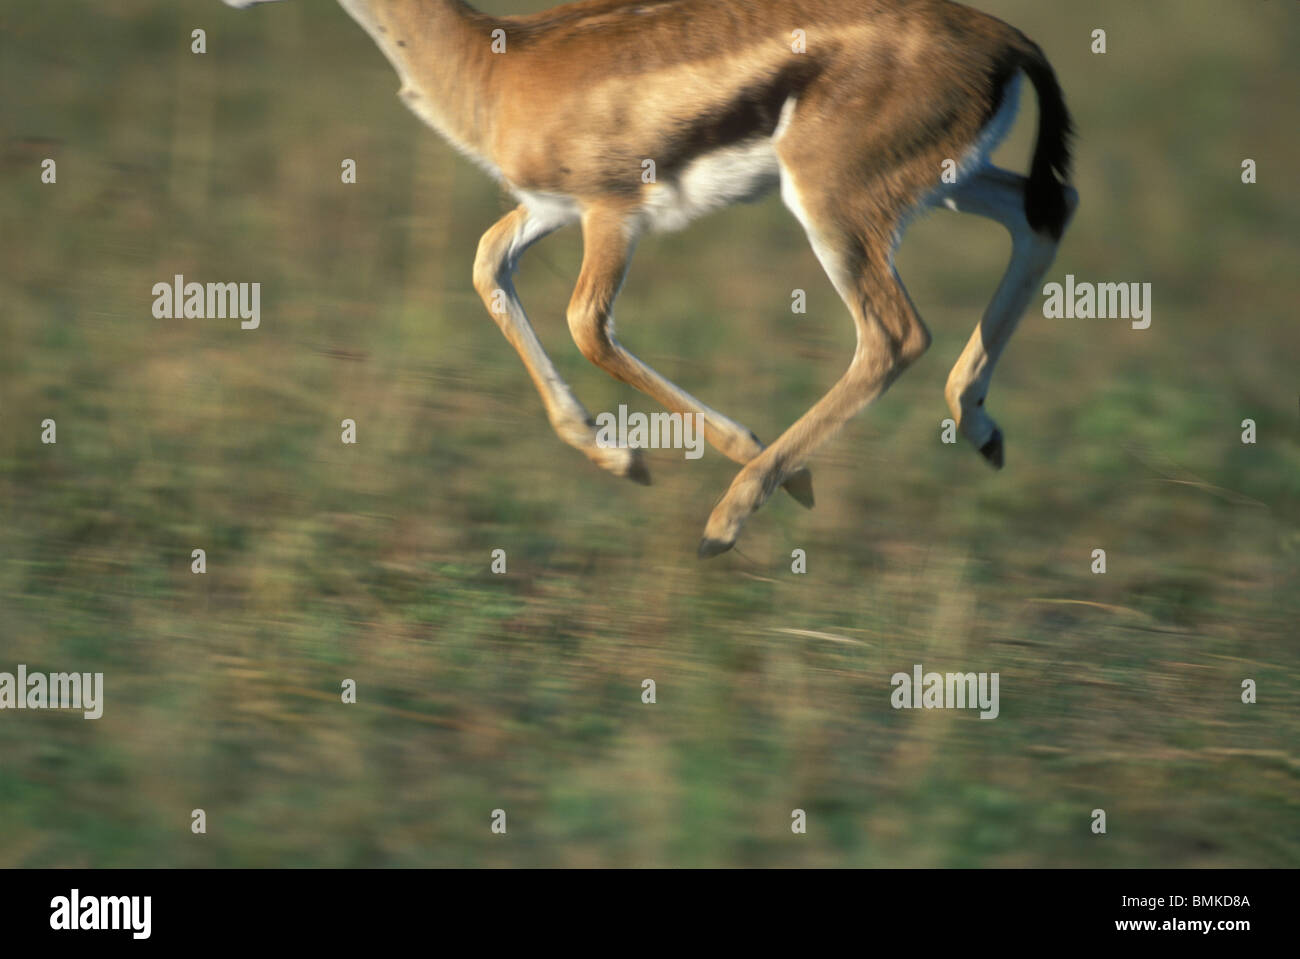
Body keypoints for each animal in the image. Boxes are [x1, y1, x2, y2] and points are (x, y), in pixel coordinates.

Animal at [222, 0, 1076, 557]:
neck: (499, 62)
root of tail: (1008, 37)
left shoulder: (613, 214)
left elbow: (587, 327)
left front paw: (740, 465)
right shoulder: (550, 209)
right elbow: (487, 265)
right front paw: (620, 458)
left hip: (833, 203)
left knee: (895, 335)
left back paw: (732, 517)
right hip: (944, 183)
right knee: (1046, 209)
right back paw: (979, 428)